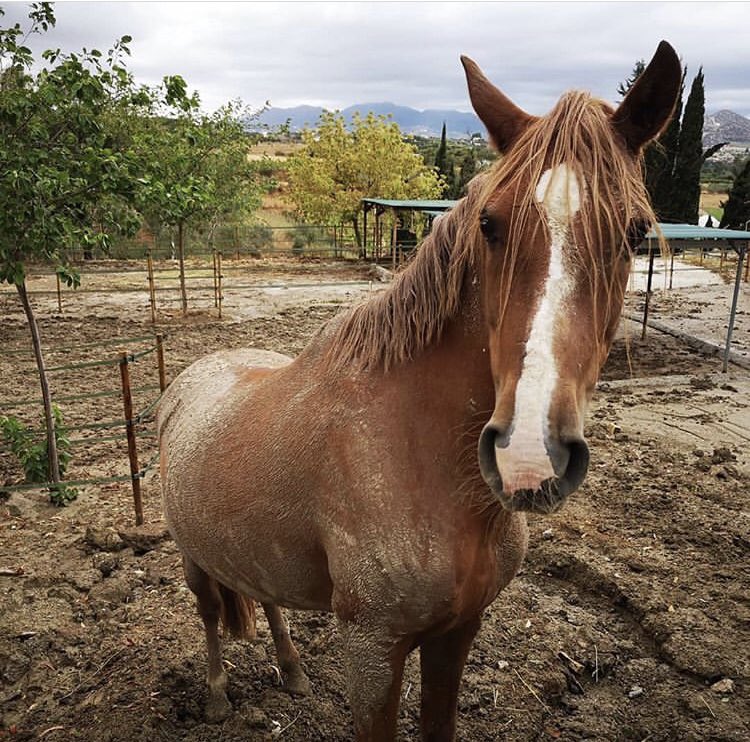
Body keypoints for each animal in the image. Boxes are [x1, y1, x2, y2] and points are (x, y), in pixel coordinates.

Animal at [158, 41, 681, 741]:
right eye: (490, 224)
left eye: (635, 233)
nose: (528, 456)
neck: (419, 457)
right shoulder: (373, 651)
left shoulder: (457, 633)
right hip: (193, 559)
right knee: (212, 615)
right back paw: (216, 695)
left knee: (265, 600)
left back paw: (292, 672)